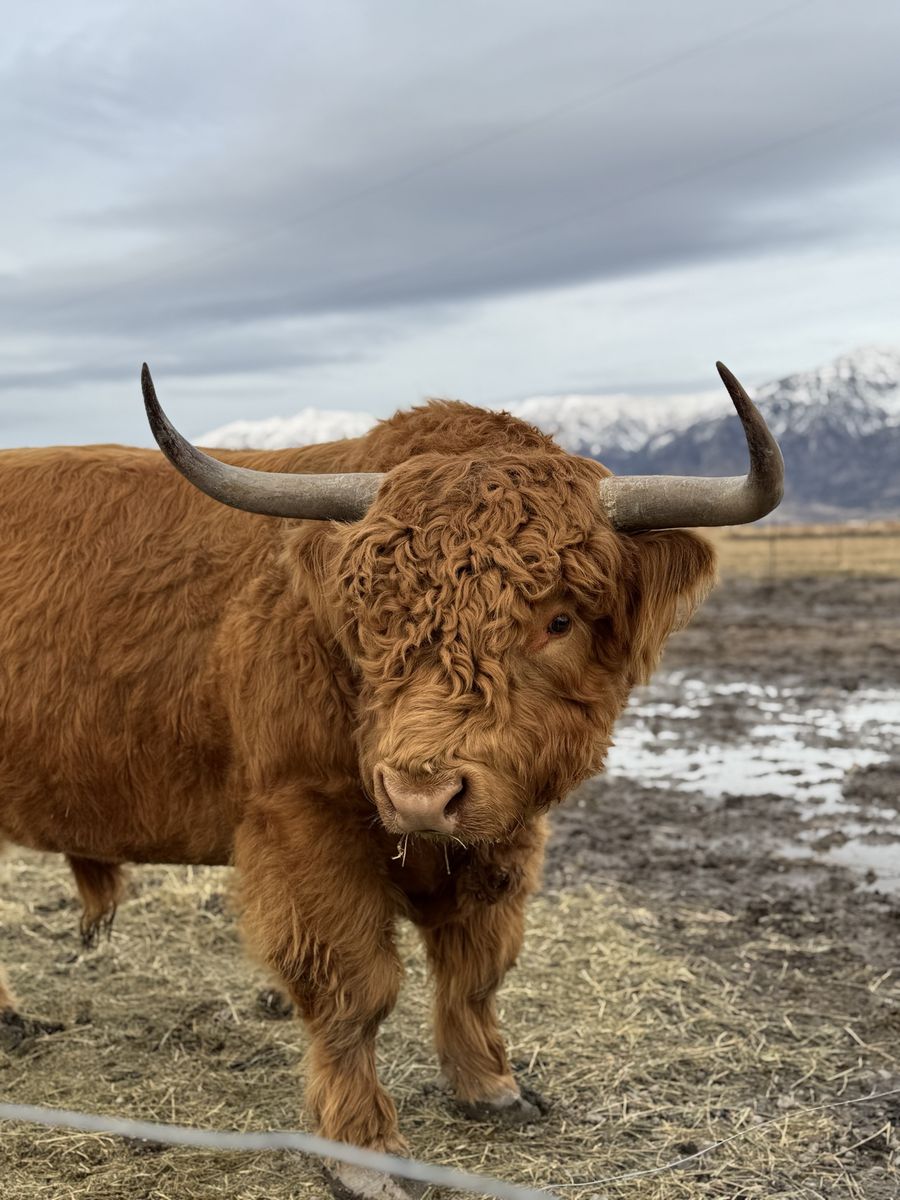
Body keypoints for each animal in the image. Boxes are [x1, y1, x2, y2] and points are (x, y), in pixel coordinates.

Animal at [0, 362, 782, 1198]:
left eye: (560, 620)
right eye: (376, 620)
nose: (420, 795)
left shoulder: (504, 838)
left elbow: (477, 966)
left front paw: (491, 1089)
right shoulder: (305, 822)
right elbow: (354, 987)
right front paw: (363, 1151)